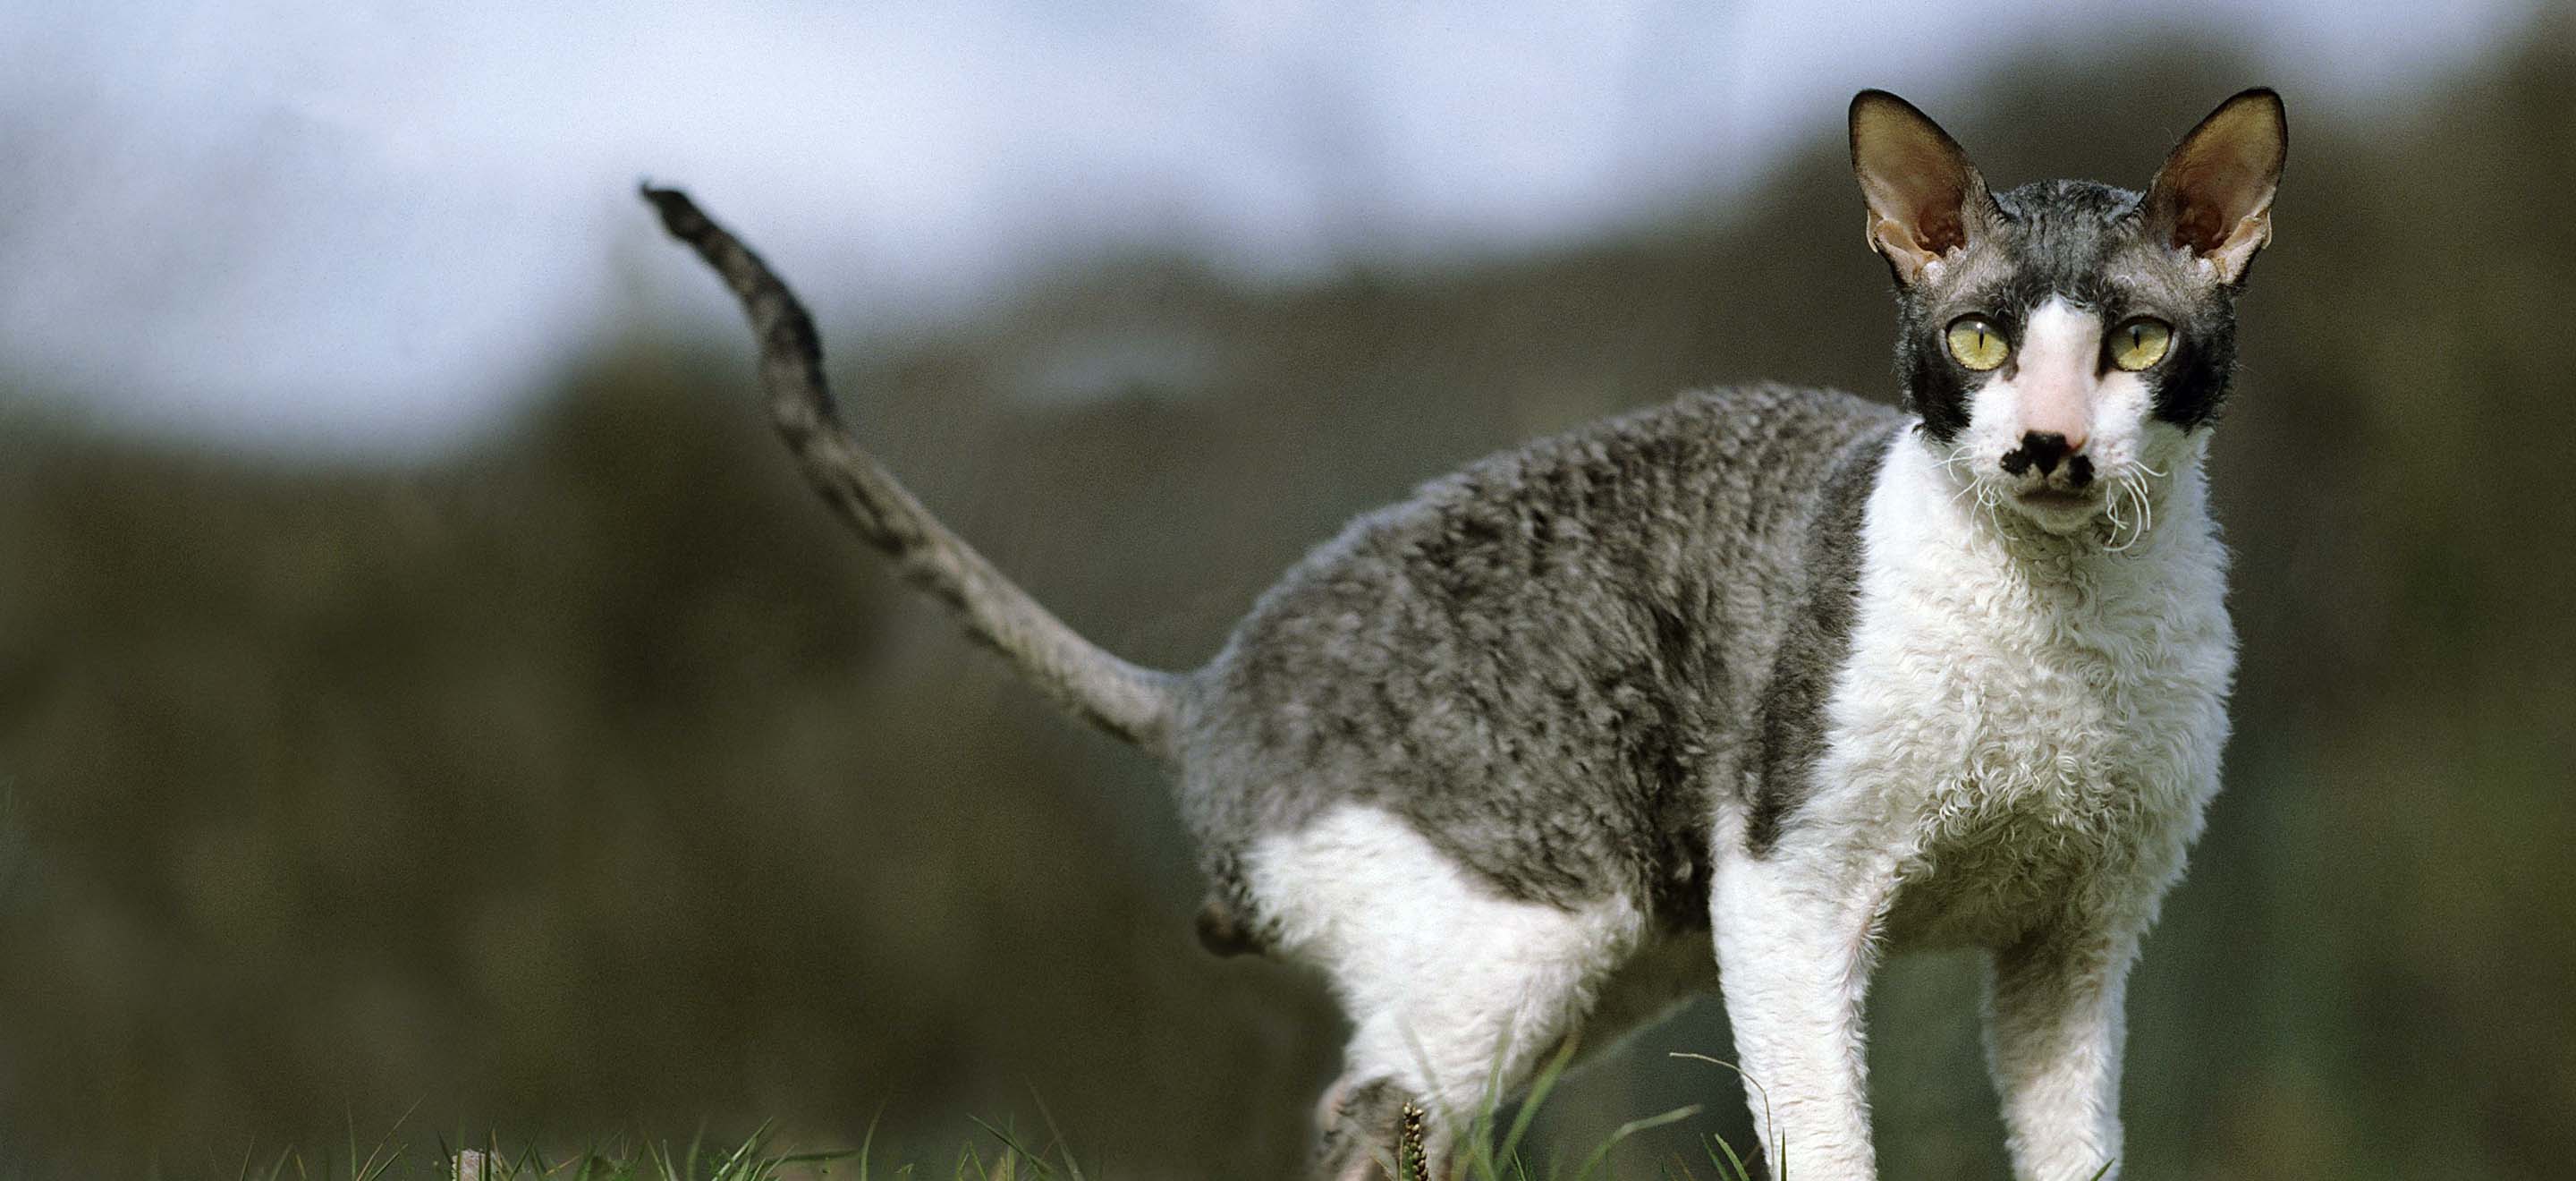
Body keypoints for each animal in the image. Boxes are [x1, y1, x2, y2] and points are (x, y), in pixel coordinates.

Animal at [644, 85, 2297, 1181]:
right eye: (1976, 341)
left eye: (2137, 344)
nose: (2047, 446)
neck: (2063, 626)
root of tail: (1207, 691)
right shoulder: (1792, 890)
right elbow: (1825, 1148)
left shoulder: (2078, 938)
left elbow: (2074, 1151)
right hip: (1536, 914)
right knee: (1362, 1120)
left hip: (1604, 954)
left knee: (1415, 1122)